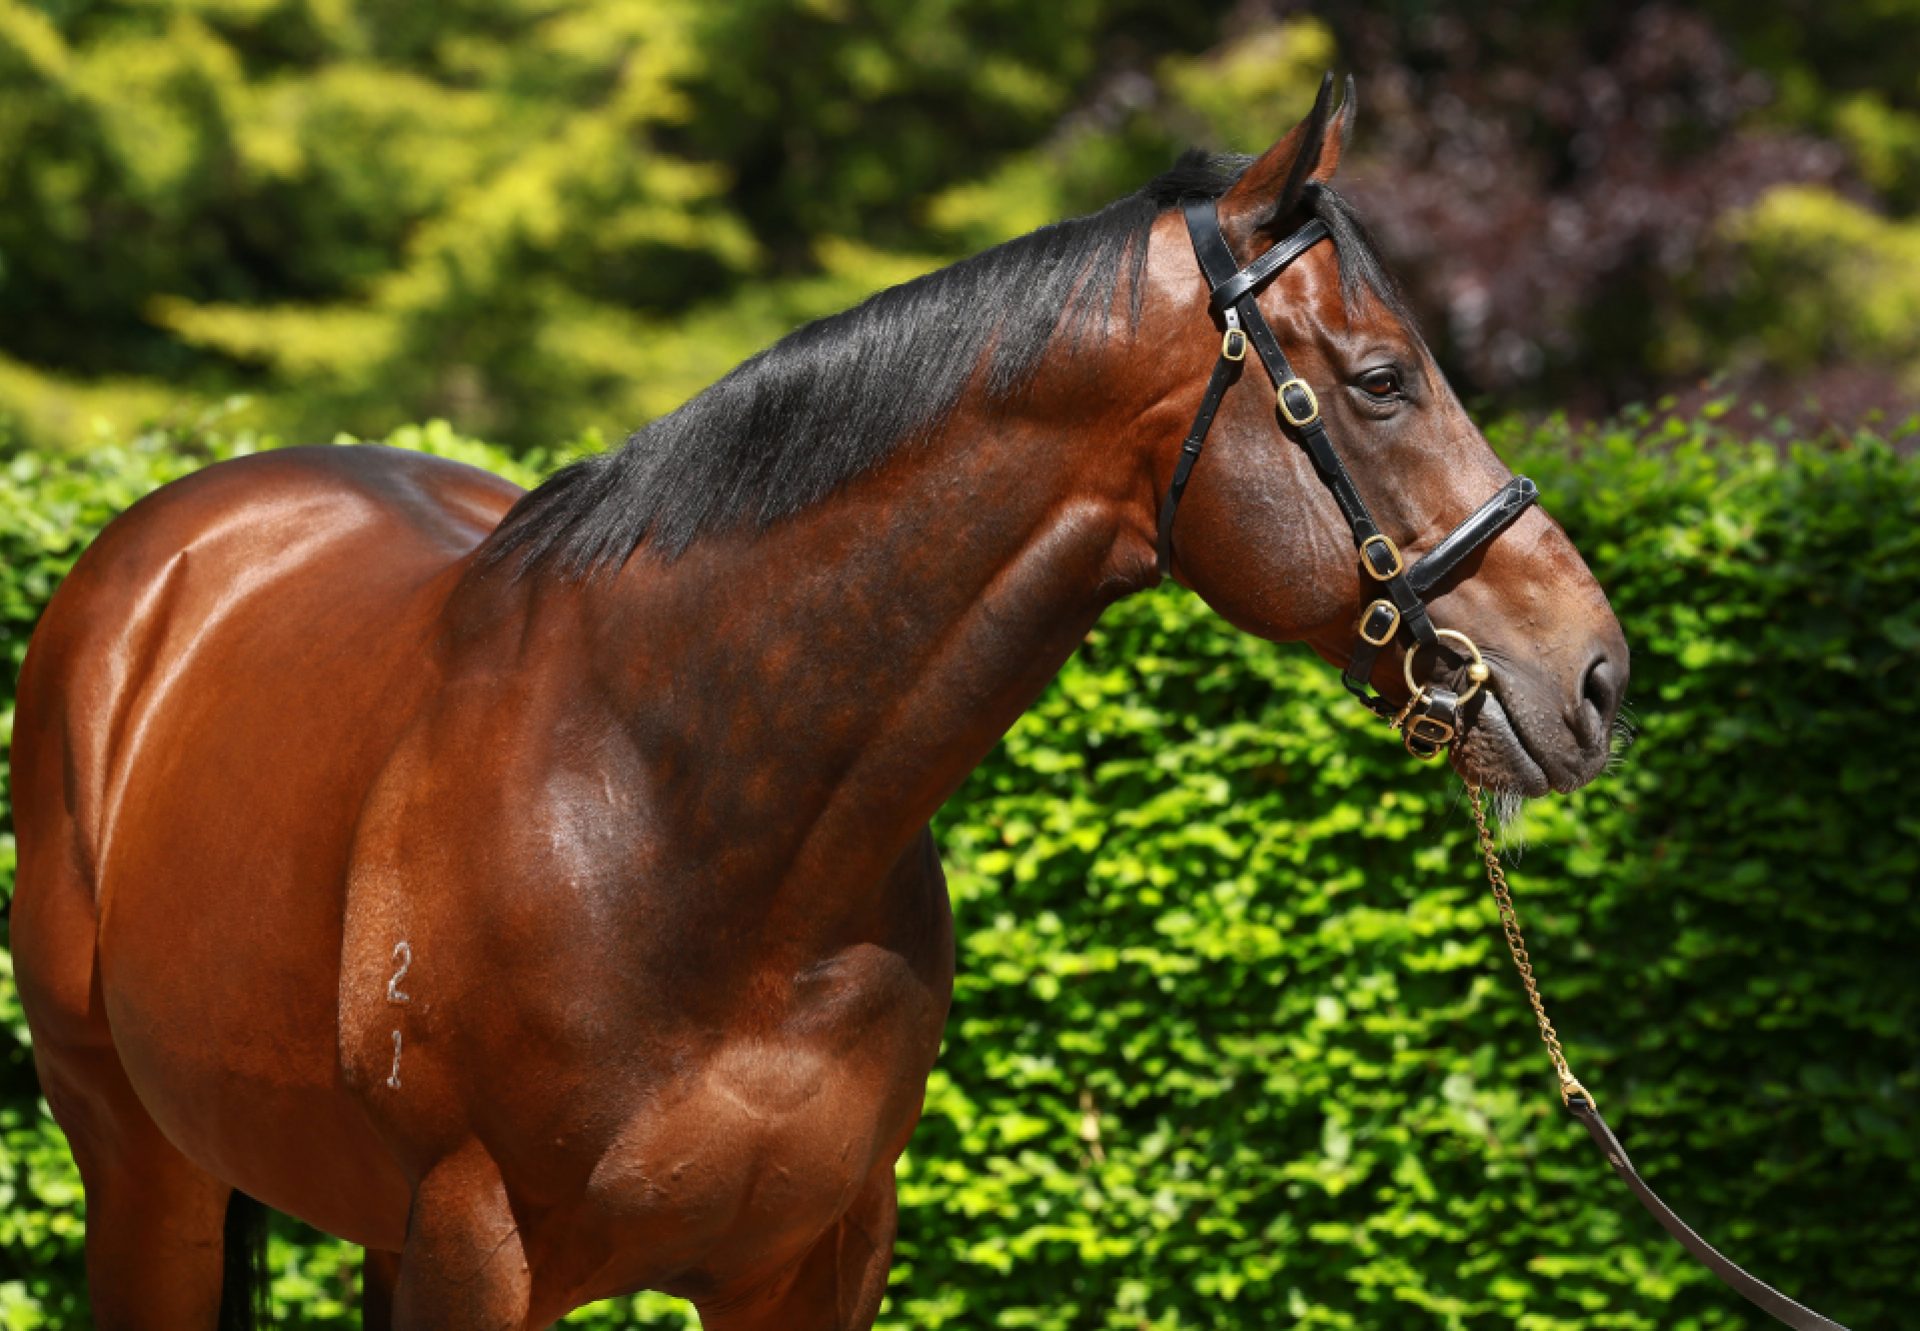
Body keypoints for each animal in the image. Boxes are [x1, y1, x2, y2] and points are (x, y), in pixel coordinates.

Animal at [15, 77, 1628, 1321]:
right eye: (1381, 379)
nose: (1597, 671)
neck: (686, 810)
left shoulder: (816, 1258)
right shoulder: (476, 1253)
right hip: (143, 1172)